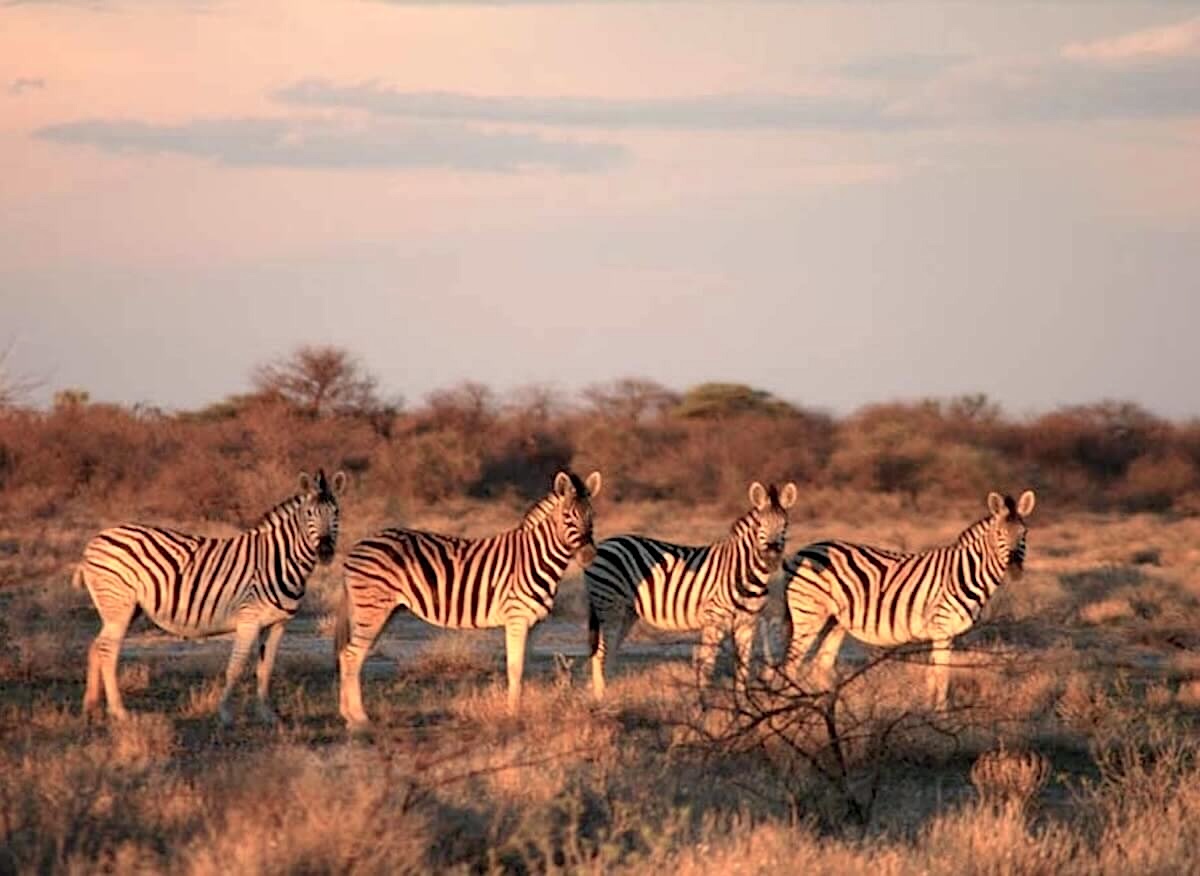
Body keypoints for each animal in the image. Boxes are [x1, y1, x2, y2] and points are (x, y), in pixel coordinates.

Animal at [74, 469, 346, 724]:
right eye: (309, 514)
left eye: (336, 513)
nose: (325, 551)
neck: (279, 560)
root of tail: (96, 539)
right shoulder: (249, 619)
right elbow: (236, 667)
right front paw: (225, 714)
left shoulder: (278, 623)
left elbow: (265, 668)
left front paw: (267, 714)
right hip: (118, 602)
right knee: (108, 649)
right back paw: (119, 712)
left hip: (126, 608)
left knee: (97, 645)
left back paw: (91, 708)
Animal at [335, 469, 602, 725]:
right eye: (568, 516)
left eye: (592, 516)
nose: (589, 556)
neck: (534, 557)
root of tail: (357, 547)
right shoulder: (516, 618)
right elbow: (514, 668)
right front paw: (512, 714)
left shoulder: (534, 624)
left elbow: (523, 668)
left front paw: (518, 709)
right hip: (372, 609)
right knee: (351, 655)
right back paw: (358, 718)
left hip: (383, 611)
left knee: (350, 655)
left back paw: (348, 715)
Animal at [584, 481, 798, 700]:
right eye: (760, 526)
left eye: (785, 525)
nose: (772, 556)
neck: (746, 573)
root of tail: (606, 542)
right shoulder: (714, 620)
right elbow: (707, 665)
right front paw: (703, 702)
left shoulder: (748, 623)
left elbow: (743, 667)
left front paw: (741, 703)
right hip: (608, 604)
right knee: (601, 652)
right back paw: (601, 697)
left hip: (627, 611)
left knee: (610, 650)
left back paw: (610, 694)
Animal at [778, 489, 1035, 708]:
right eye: (1000, 534)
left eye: (1024, 534)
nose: (1014, 570)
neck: (964, 571)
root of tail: (804, 550)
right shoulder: (942, 627)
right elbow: (942, 674)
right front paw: (942, 714)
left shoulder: (940, 632)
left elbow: (931, 674)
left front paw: (927, 713)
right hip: (808, 615)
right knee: (791, 665)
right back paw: (790, 712)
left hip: (835, 622)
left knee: (820, 665)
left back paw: (831, 709)